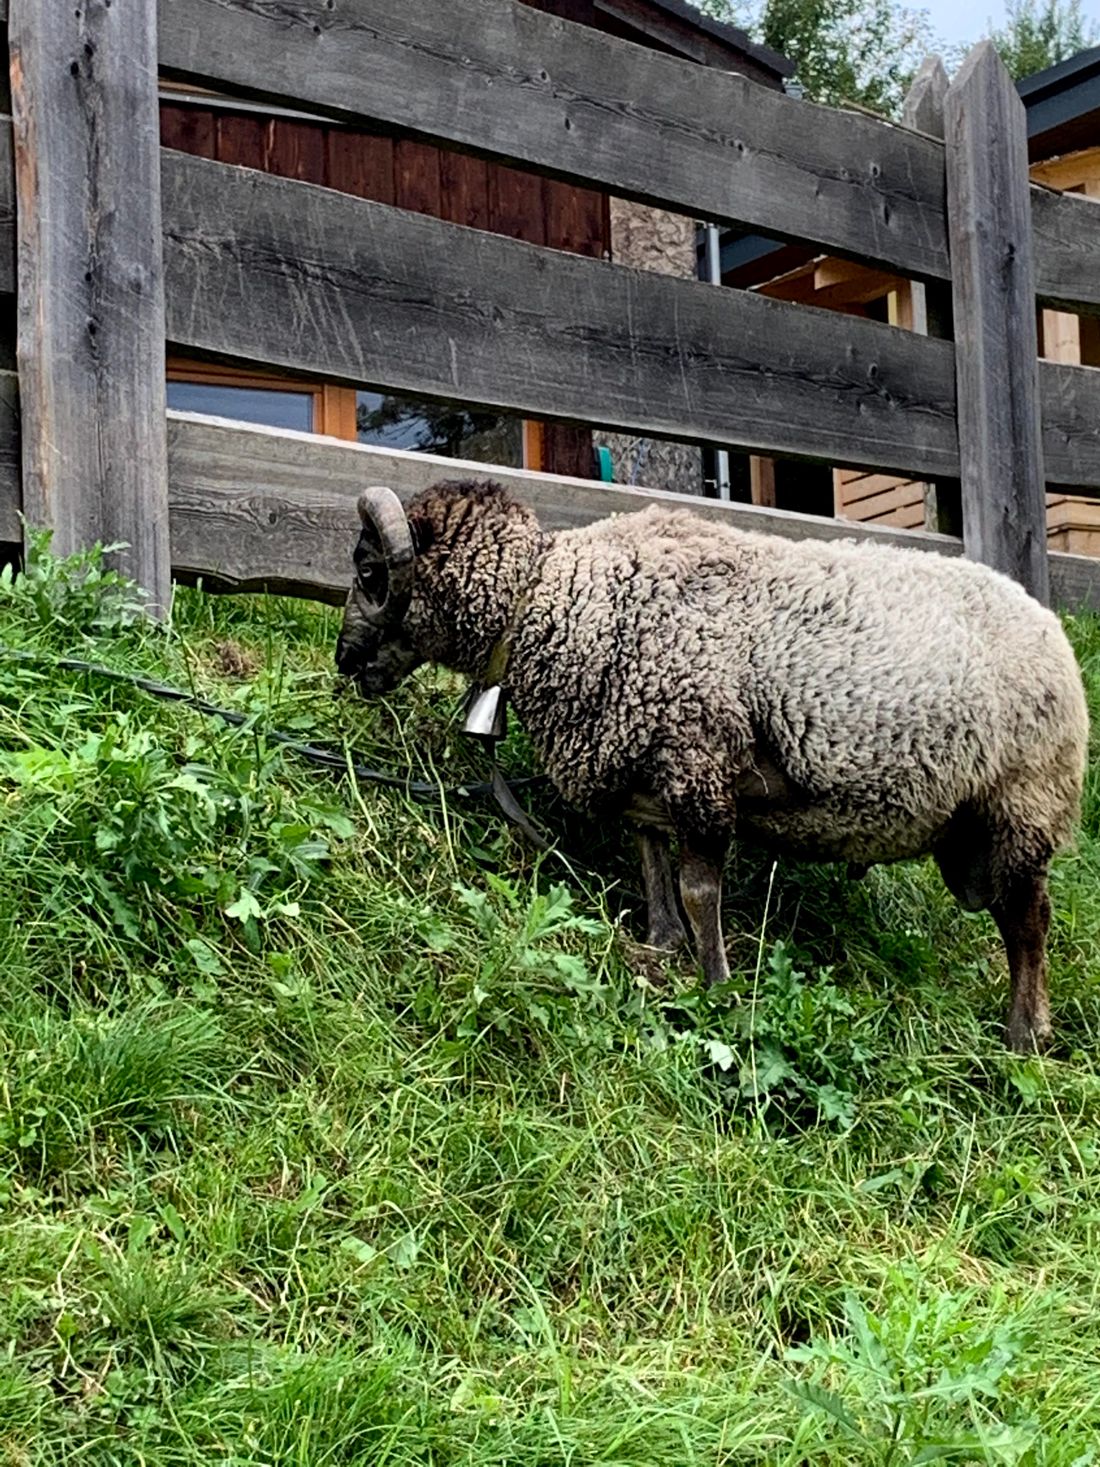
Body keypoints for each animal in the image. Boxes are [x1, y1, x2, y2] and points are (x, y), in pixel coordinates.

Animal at [338, 475, 1097, 1050]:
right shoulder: (641, 771)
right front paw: (661, 948)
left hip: (1024, 803)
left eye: (370, 572)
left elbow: (702, 888)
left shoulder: (698, 764)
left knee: (1030, 920)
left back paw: (1025, 1035)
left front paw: (717, 986)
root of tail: (1049, 624)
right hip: (976, 830)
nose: (345, 661)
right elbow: (653, 868)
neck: (561, 600)